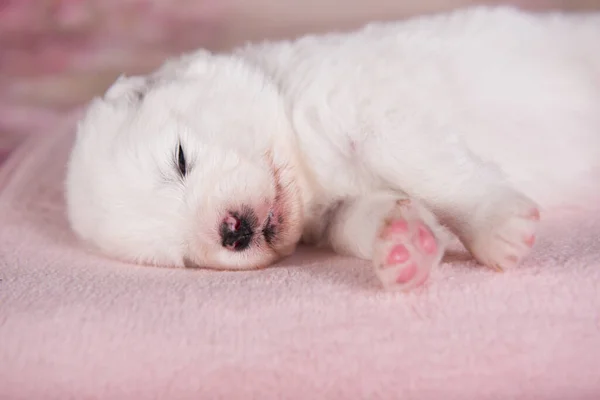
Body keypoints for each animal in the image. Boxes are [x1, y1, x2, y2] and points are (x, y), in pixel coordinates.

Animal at [64, 5, 600, 288]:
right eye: (179, 258)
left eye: (180, 159)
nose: (232, 231)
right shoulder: (336, 212)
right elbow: (363, 220)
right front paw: (406, 244)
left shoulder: (368, 110)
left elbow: (434, 172)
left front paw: (496, 228)